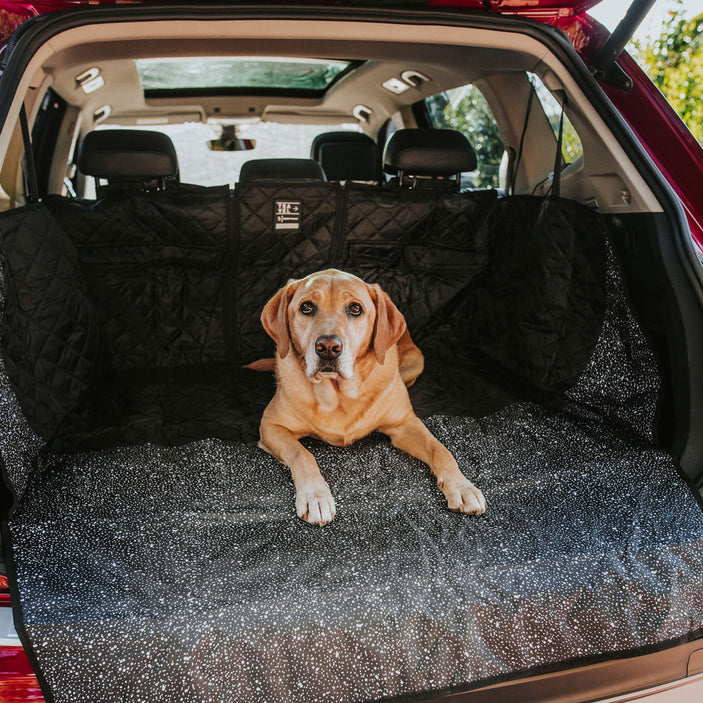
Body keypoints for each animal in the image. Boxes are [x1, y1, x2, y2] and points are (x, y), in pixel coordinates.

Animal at [256, 270, 486, 528]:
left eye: (355, 309)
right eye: (307, 307)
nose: (328, 348)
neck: (338, 395)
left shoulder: (404, 424)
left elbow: (440, 449)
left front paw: (462, 486)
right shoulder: (270, 425)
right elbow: (302, 454)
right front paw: (315, 496)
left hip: (416, 362)